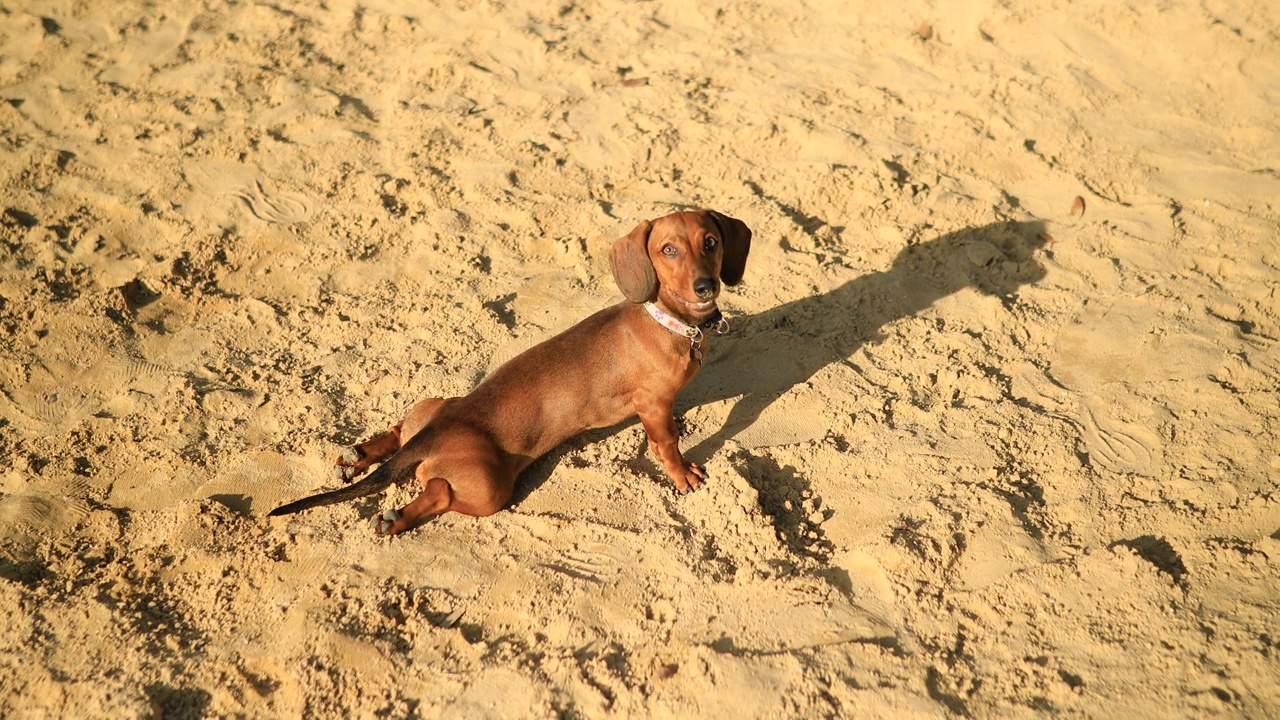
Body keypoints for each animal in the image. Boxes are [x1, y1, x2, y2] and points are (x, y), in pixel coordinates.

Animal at [270, 207, 747, 532]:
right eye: (668, 250)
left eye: (710, 242)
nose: (706, 285)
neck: (667, 320)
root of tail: (434, 433)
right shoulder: (653, 404)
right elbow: (667, 443)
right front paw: (684, 475)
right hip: (490, 486)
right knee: (440, 490)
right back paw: (396, 516)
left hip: (433, 404)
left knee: (399, 432)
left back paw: (359, 456)